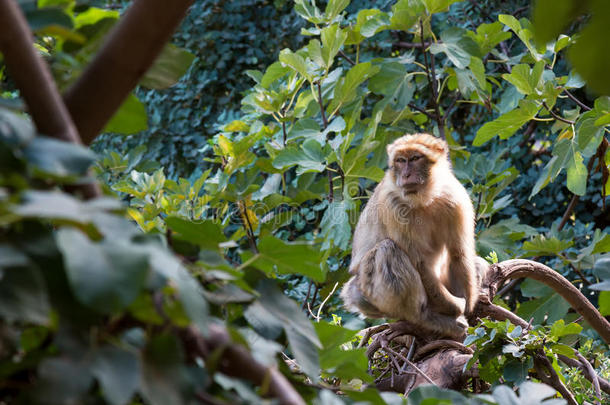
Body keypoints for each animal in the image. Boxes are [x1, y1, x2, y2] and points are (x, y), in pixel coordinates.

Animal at [340, 133, 478, 338]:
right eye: (400, 160)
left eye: (414, 158)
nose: (405, 175)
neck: (425, 199)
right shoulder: (392, 204)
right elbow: (419, 263)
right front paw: (456, 307)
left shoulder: (455, 199)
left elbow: (458, 253)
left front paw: (468, 306)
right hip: (370, 293)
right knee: (387, 250)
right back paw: (428, 318)